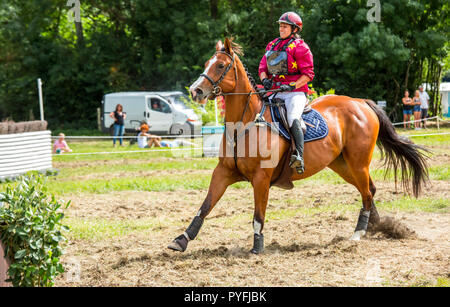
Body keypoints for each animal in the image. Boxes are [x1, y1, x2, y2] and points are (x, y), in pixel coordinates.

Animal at [167, 38, 428, 255]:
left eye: (220, 66)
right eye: (207, 63)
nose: (195, 91)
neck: (245, 123)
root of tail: (360, 102)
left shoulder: (261, 179)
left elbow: (258, 216)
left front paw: (257, 248)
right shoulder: (223, 172)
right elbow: (205, 207)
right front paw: (182, 239)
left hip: (358, 163)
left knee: (366, 193)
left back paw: (358, 233)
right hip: (343, 166)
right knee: (369, 190)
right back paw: (375, 226)